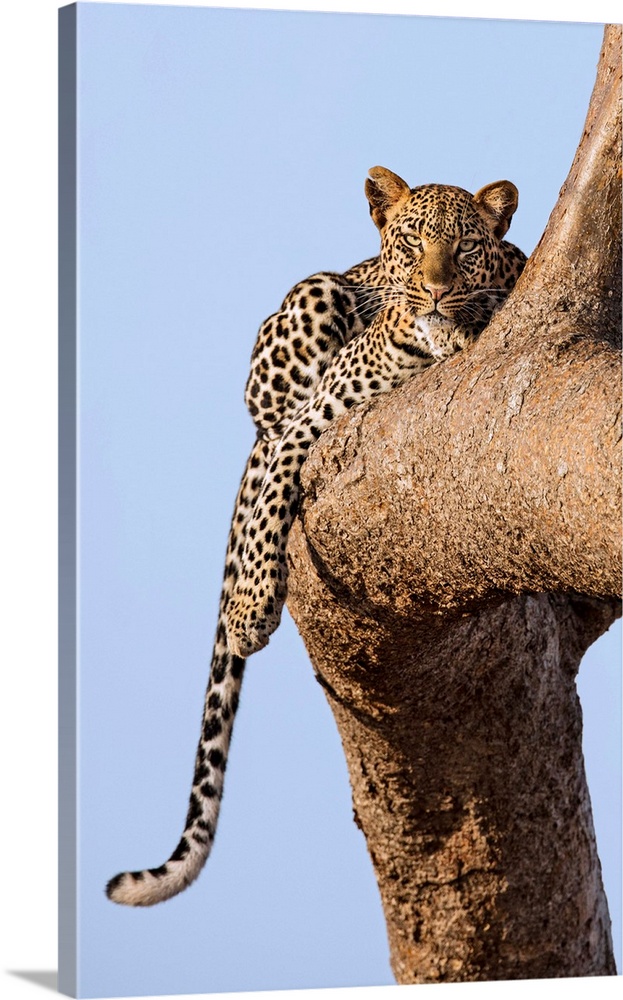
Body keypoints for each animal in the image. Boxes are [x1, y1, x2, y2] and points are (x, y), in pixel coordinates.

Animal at [106, 166, 528, 908]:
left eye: (466, 246)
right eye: (410, 243)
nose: (434, 290)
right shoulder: (316, 414)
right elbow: (274, 491)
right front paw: (251, 611)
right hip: (309, 308)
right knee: (261, 462)